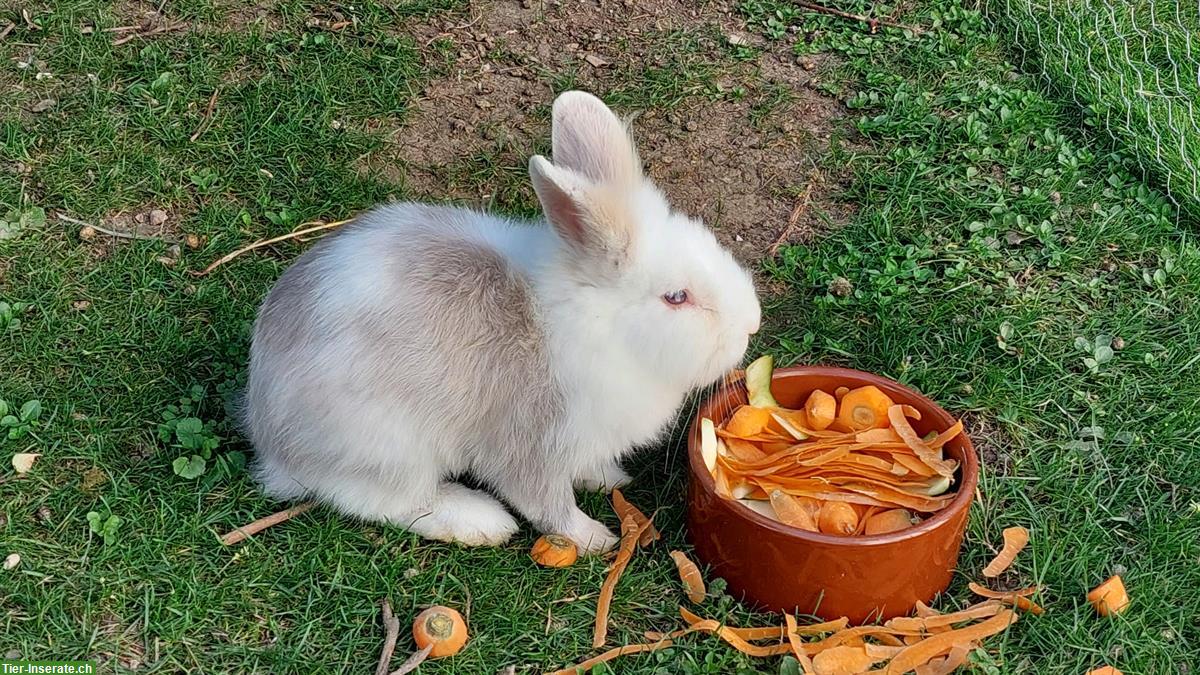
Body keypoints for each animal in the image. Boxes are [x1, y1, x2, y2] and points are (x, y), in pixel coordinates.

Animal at [241, 90, 758, 552]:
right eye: (677, 297)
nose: (751, 324)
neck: (592, 322)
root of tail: (268, 435)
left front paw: (610, 477)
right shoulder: (533, 443)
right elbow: (546, 503)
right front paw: (594, 537)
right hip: (388, 449)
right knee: (389, 502)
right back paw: (481, 522)